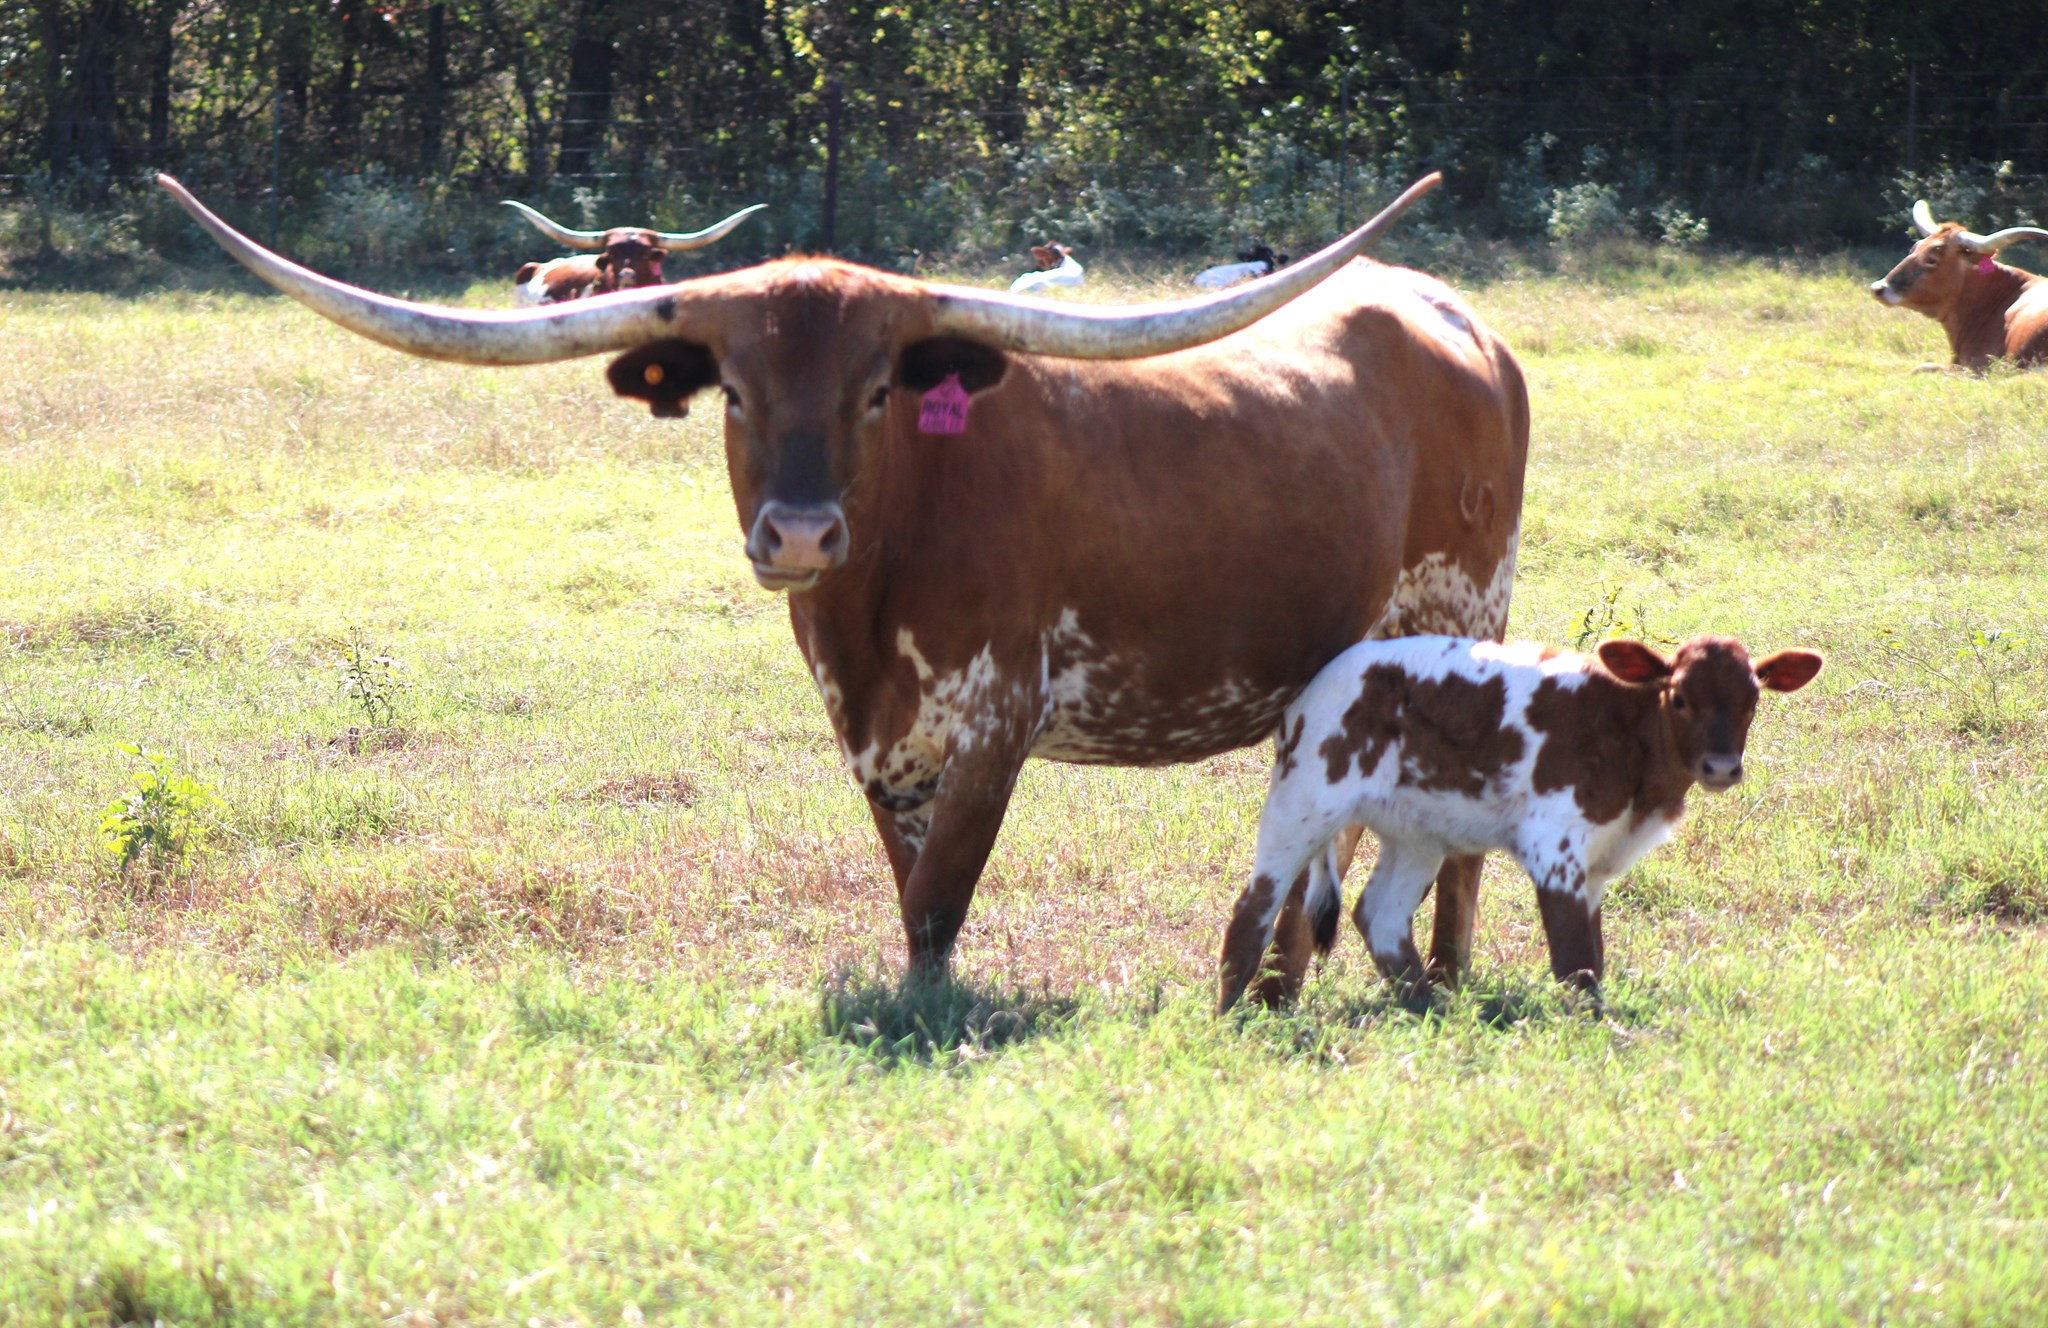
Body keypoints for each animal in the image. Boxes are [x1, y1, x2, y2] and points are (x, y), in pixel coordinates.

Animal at [1216, 634, 1823, 1013]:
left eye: (1752, 700)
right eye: (1678, 698)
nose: (1720, 766)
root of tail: (1316, 684)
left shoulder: (1596, 863)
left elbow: (1594, 956)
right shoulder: (1554, 843)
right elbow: (1574, 958)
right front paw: (1591, 1028)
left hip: (1418, 828)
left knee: (1381, 914)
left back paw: (1427, 1008)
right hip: (1304, 796)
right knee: (1254, 906)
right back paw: (1230, 1019)